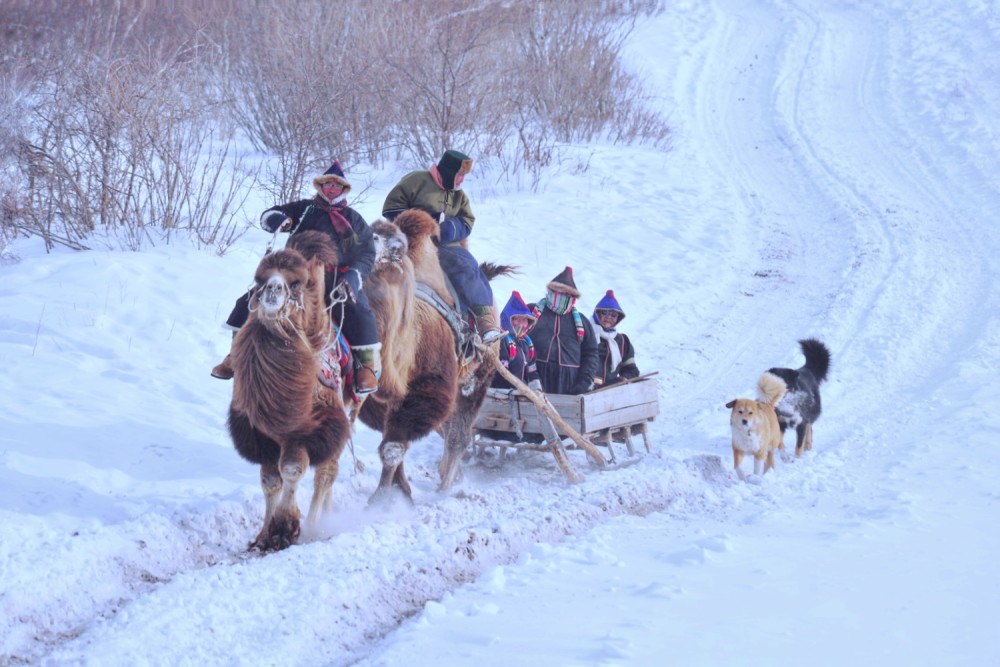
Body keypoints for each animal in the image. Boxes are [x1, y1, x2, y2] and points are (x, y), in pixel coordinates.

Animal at [226, 232, 352, 552]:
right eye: (259, 279)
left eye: (296, 282)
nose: (273, 288)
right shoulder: (260, 434)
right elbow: (270, 481)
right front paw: (263, 536)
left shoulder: (312, 429)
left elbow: (293, 470)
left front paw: (285, 529)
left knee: (326, 474)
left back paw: (315, 527)